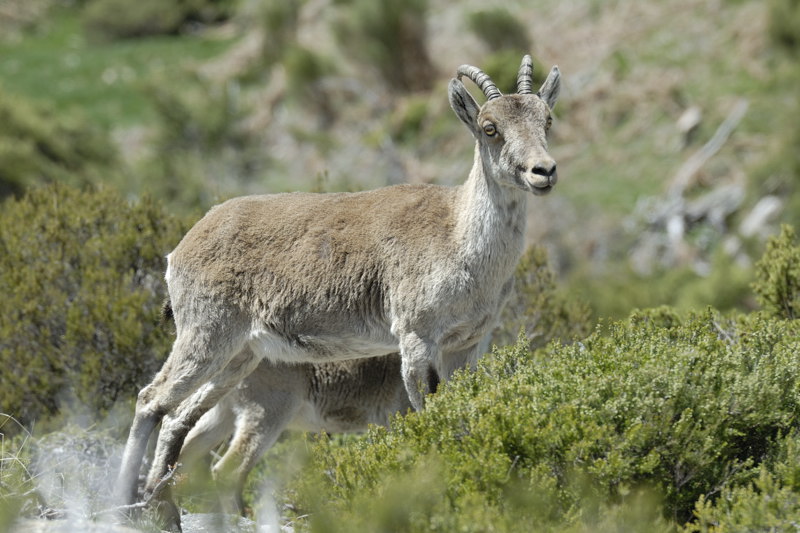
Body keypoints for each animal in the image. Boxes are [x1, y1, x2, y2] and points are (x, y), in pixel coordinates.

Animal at [115, 54, 564, 524]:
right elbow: (429, 415)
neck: (457, 237)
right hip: (208, 335)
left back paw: (164, 509)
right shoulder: (416, 337)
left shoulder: (468, 344)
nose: (543, 172)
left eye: (547, 119)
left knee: (178, 418)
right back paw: (125, 501)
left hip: (240, 355)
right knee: (151, 400)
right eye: (489, 127)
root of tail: (182, 247)